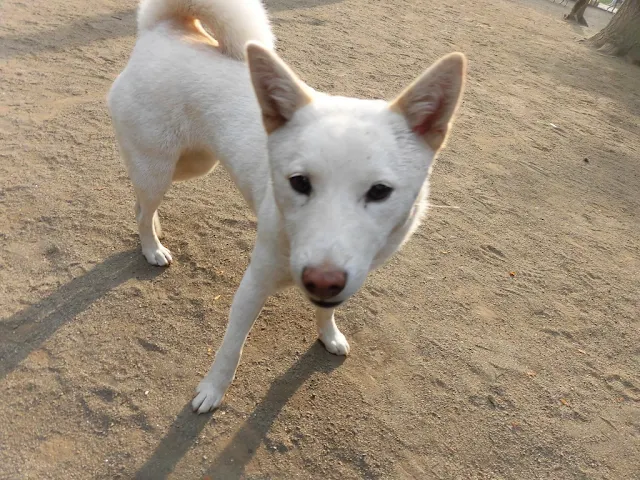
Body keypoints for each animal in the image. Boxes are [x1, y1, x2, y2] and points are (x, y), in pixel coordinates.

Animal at [107, 0, 466, 413]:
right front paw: (212, 391)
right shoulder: (254, 283)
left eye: (379, 192)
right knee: (142, 207)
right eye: (299, 182)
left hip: (194, 163)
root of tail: (165, 30)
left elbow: (327, 310)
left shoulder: (343, 278)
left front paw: (329, 335)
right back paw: (151, 247)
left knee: (143, 202)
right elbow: (231, 349)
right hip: (160, 167)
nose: (321, 279)